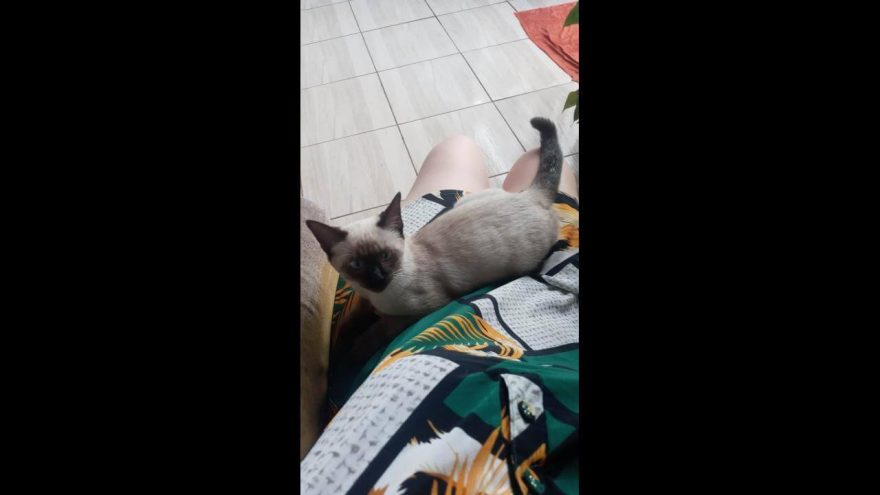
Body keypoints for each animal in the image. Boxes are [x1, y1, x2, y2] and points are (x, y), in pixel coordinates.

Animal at [306, 117, 563, 321]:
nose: (377, 277)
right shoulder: (366, 303)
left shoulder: (415, 313)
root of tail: (531, 194)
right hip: (463, 202)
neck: (378, 298)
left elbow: (367, 340)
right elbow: (350, 324)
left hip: (521, 262)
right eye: (357, 265)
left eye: (386, 256)